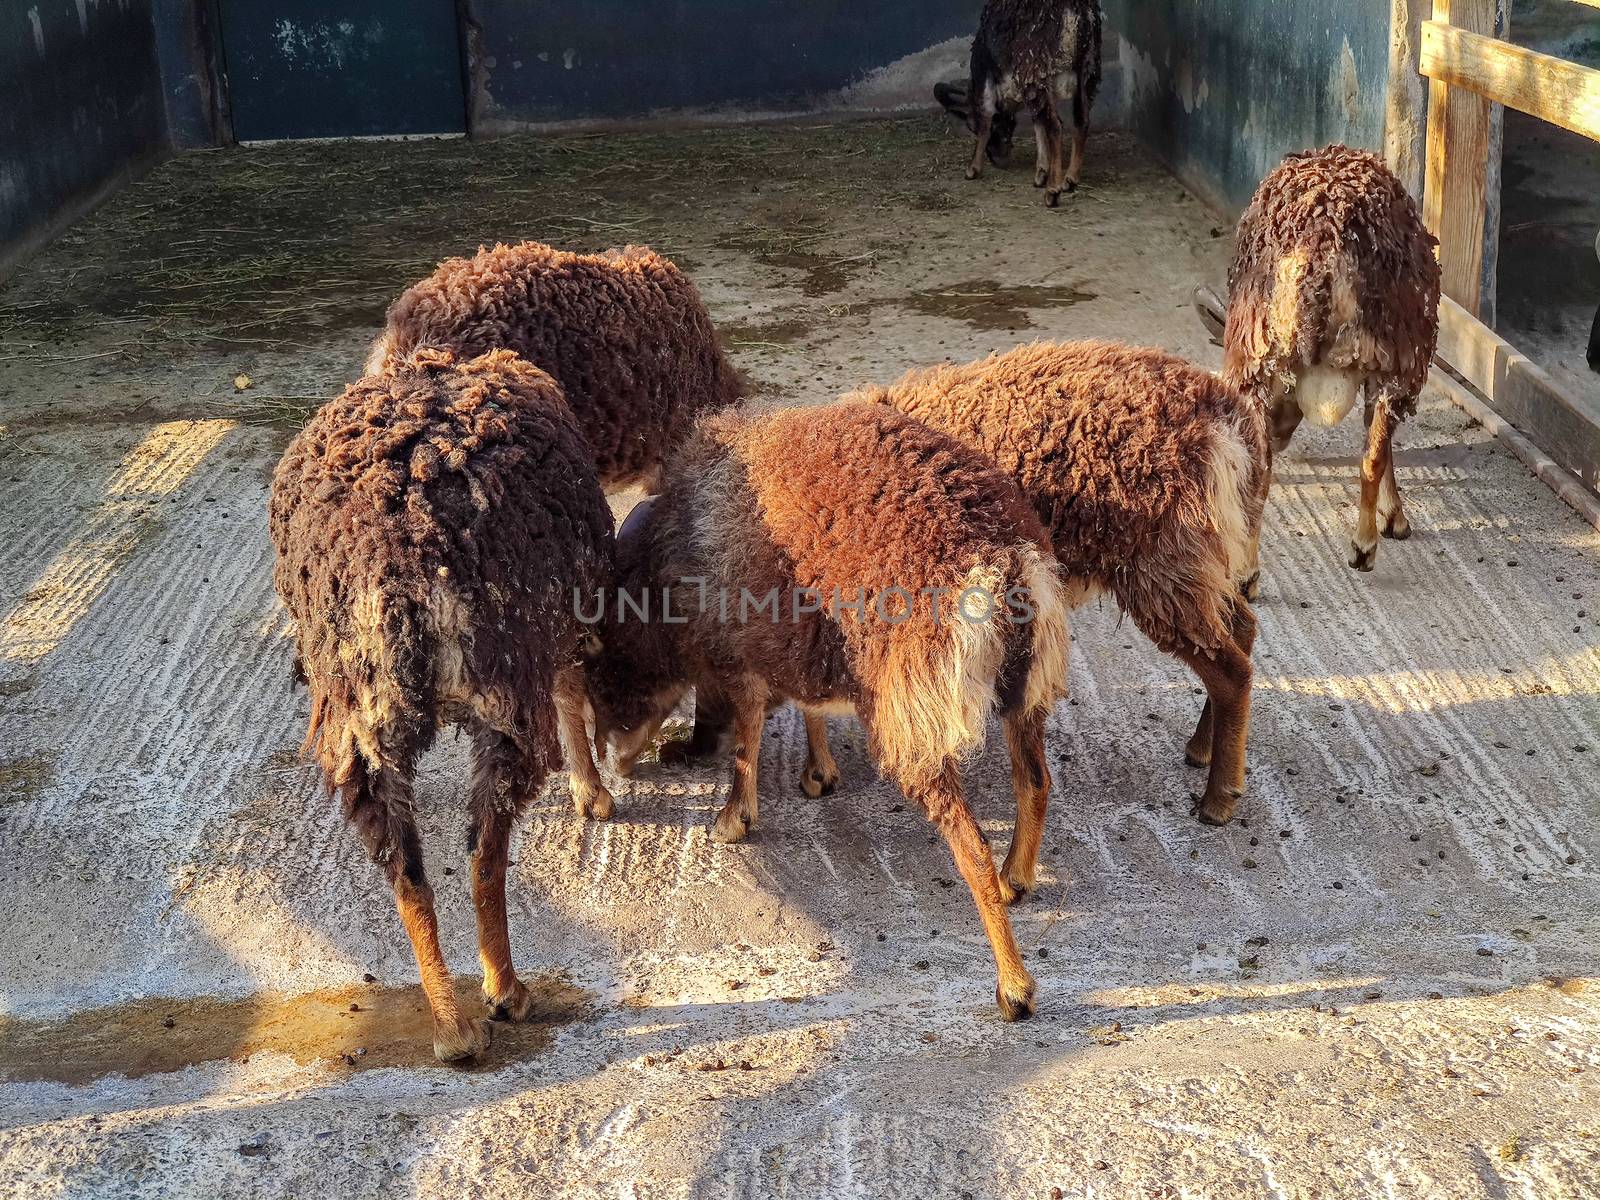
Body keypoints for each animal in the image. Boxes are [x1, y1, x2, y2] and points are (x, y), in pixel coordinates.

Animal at [265, 347, 614, 1062]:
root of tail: (404, 572)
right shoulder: (564, 621)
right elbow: (572, 690)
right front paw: (592, 791)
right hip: (504, 684)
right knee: (484, 851)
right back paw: (503, 993)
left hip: (363, 720)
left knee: (407, 864)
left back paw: (451, 1027)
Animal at [582, 404, 1068, 1024]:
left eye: (606, 669)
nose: (613, 762)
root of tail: (1004, 562)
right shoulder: (803, 643)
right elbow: (808, 704)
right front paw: (819, 772)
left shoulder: (741, 650)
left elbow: (747, 736)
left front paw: (734, 818)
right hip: (1023, 693)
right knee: (1034, 782)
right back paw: (1017, 878)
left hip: (912, 713)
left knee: (972, 847)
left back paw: (1013, 985)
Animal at [844, 339, 1267, 825]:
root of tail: (1228, 420)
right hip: (1203, 560)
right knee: (1241, 630)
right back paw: (1202, 747)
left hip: (1166, 563)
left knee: (1231, 670)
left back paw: (1219, 798)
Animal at [1209, 145, 1440, 579]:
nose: (1281, 436)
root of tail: (1319, 251)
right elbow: (1379, 444)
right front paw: (1395, 519)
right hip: (1391, 356)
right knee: (1369, 454)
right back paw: (1363, 548)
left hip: (1259, 354)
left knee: (1263, 465)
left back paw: (1248, 575)